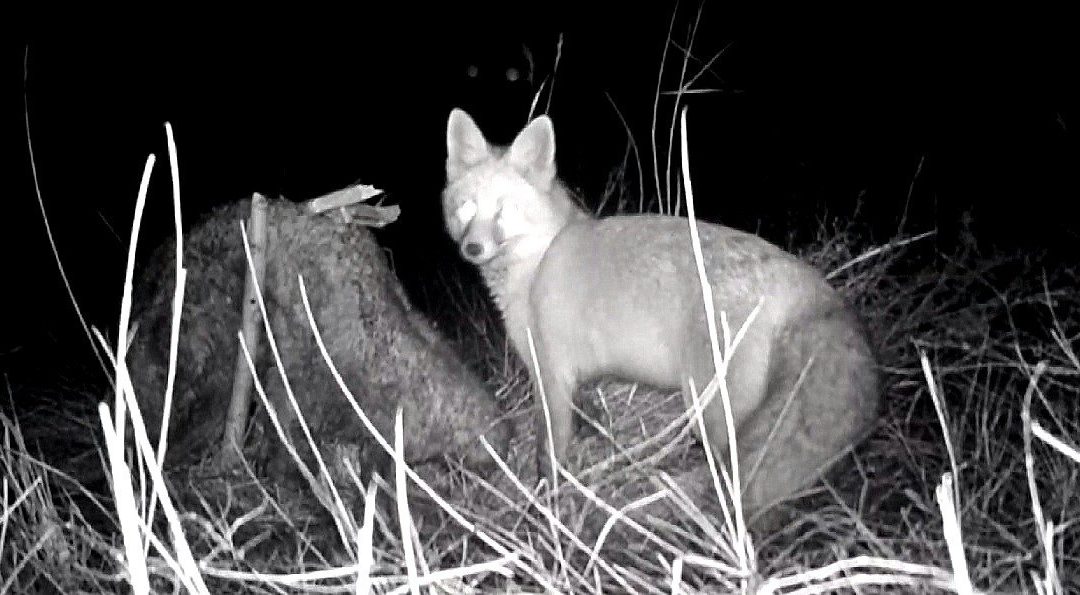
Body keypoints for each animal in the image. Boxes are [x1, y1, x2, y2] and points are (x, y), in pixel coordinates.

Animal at [442, 106, 881, 511]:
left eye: (504, 211)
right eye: (466, 208)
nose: (472, 248)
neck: (537, 262)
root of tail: (802, 276)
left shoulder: (550, 375)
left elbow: (549, 454)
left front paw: (546, 502)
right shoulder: (576, 381)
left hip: (710, 411)